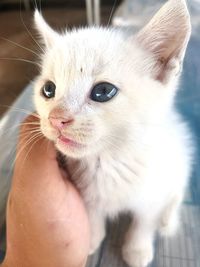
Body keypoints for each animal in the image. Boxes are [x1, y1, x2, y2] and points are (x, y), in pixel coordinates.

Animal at [33, 1, 193, 266]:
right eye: (48, 89)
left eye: (103, 91)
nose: (56, 119)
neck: (109, 160)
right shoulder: (87, 193)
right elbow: (94, 215)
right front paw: (93, 238)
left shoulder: (153, 191)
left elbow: (144, 222)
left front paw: (137, 249)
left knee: (176, 192)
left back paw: (168, 220)